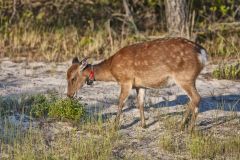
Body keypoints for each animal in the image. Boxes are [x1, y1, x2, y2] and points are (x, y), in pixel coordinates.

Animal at [66, 37, 207, 131]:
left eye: (73, 78)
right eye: (66, 76)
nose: (69, 95)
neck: (112, 69)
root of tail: (202, 54)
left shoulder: (126, 80)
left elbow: (121, 102)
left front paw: (115, 126)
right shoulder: (140, 85)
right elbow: (140, 102)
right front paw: (143, 125)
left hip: (184, 77)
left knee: (196, 97)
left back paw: (187, 128)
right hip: (190, 79)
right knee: (193, 99)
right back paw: (184, 126)